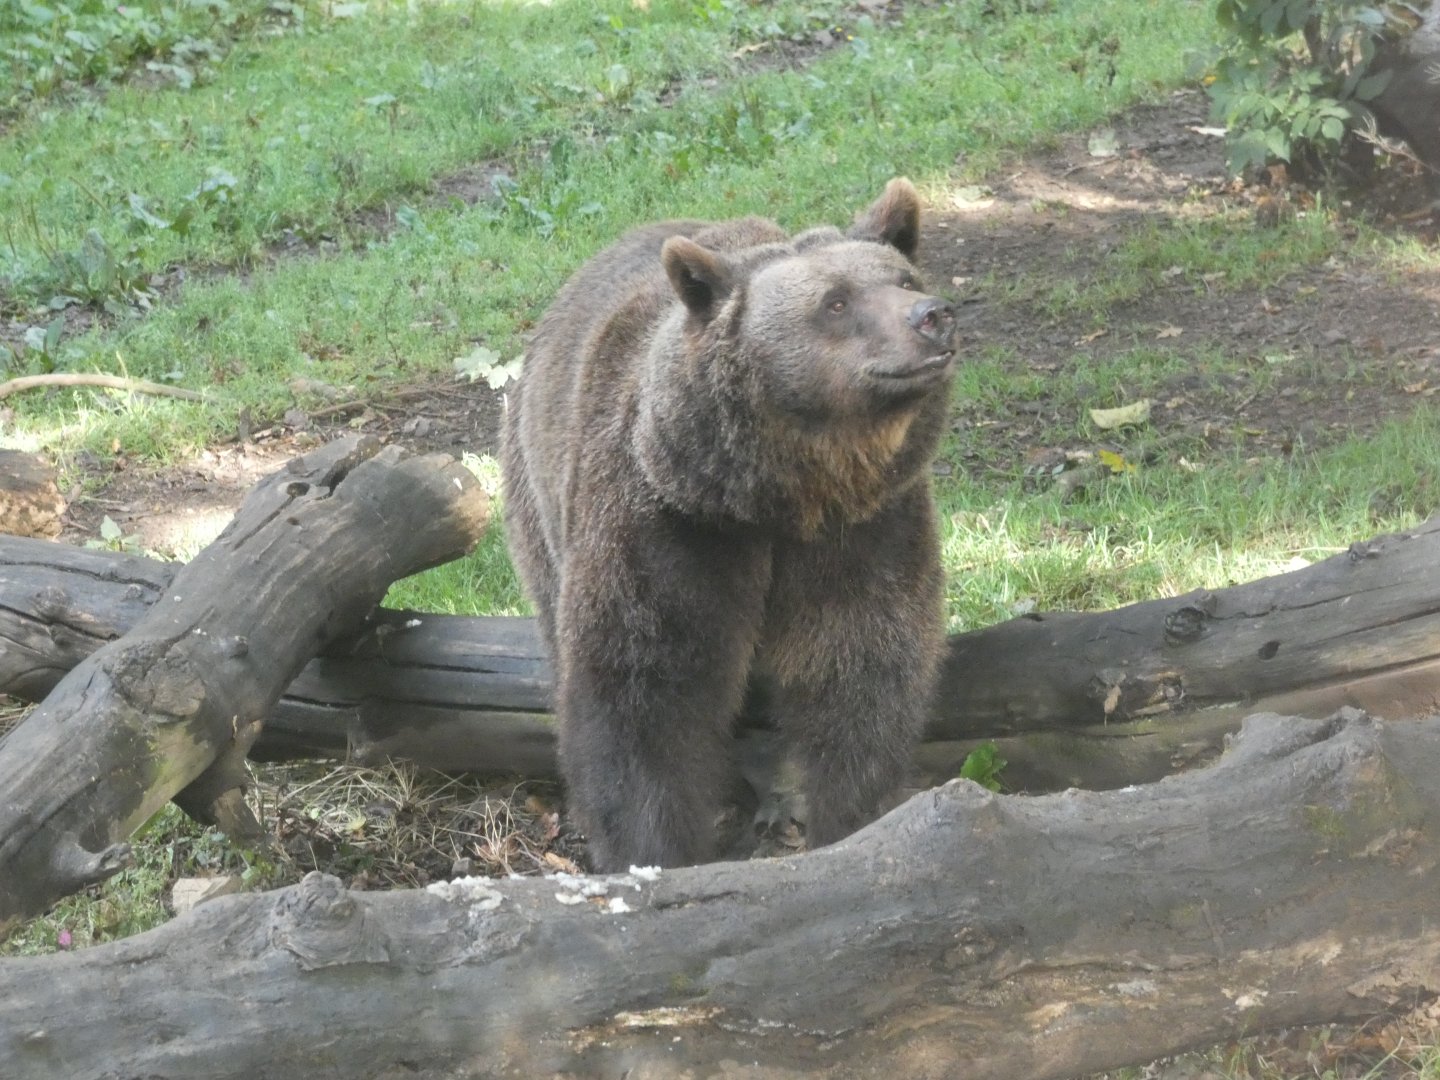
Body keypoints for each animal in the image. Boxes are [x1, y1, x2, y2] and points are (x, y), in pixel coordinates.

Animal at [501, 179, 957, 871]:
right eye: (836, 301)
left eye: (903, 277)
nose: (931, 316)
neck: (778, 496)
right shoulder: (670, 526)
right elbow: (644, 694)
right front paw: (654, 850)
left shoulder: (865, 529)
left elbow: (863, 670)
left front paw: (849, 819)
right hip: (537, 492)